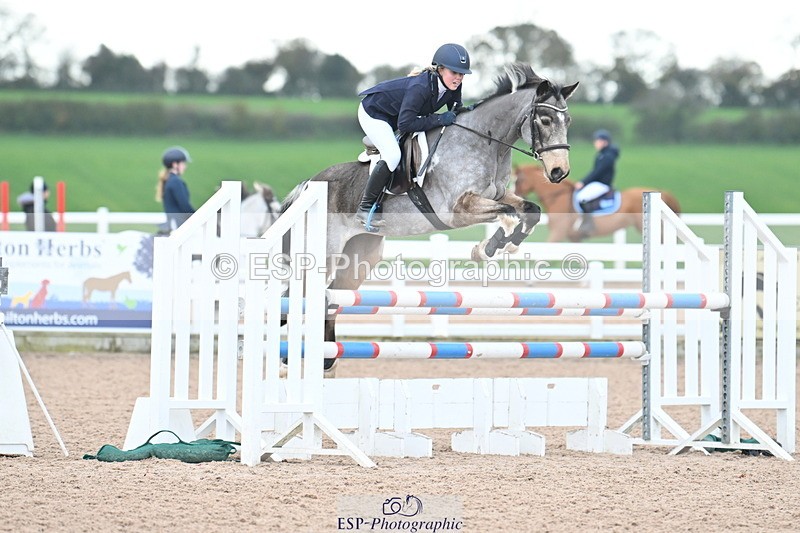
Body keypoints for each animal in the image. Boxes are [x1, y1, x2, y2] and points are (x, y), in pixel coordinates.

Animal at [279, 63, 579, 374]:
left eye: (567, 120)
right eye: (545, 119)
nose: (559, 172)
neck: (485, 143)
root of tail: (309, 184)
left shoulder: (498, 195)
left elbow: (530, 211)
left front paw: (504, 244)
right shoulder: (457, 209)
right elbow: (507, 215)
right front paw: (488, 248)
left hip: (360, 255)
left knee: (331, 298)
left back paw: (326, 361)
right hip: (323, 254)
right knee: (296, 296)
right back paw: (289, 359)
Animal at [512, 163, 682, 242]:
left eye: (518, 180)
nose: (516, 197)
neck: (558, 197)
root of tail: (660, 191)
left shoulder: (557, 233)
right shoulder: (575, 238)